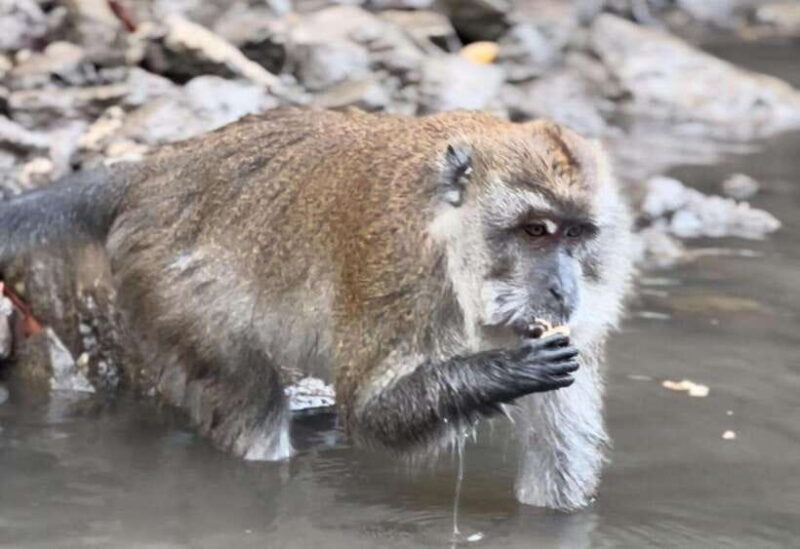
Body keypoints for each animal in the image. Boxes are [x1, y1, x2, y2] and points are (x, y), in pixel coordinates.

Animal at [0, 107, 634, 510]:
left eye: (576, 234)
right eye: (534, 230)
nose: (564, 290)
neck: (450, 237)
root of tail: (159, 171)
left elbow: (558, 476)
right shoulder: (396, 270)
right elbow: (371, 413)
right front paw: (505, 372)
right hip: (167, 283)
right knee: (247, 395)